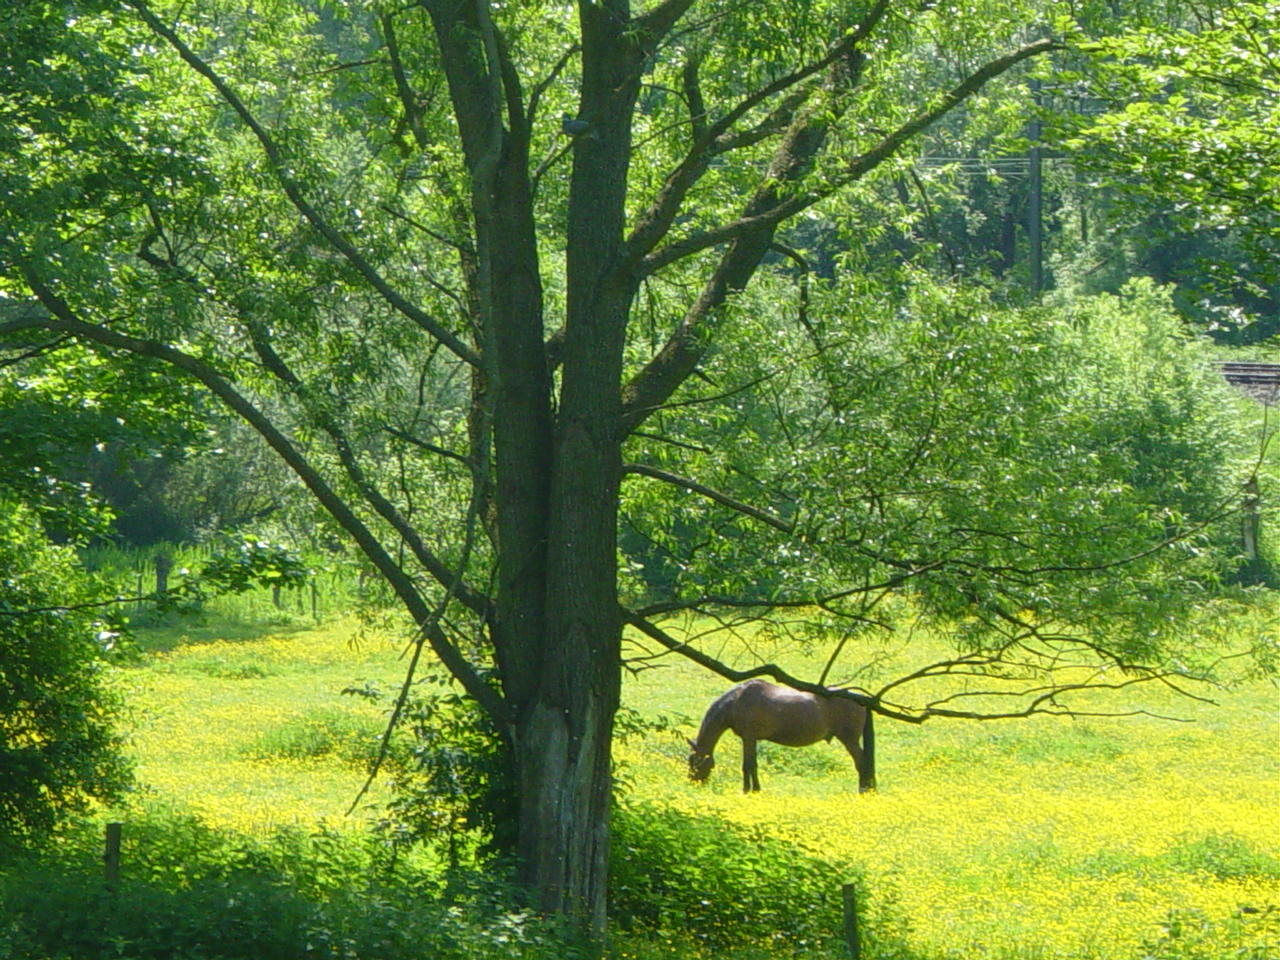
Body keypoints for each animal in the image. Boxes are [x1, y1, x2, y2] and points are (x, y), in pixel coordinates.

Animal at [686, 680, 875, 793]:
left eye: (695, 762)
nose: (692, 782)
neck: (737, 700)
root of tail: (858, 696)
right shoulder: (750, 739)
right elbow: (750, 764)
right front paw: (752, 789)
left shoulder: (749, 737)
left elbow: (749, 765)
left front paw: (749, 790)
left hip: (849, 740)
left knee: (862, 764)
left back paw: (863, 791)